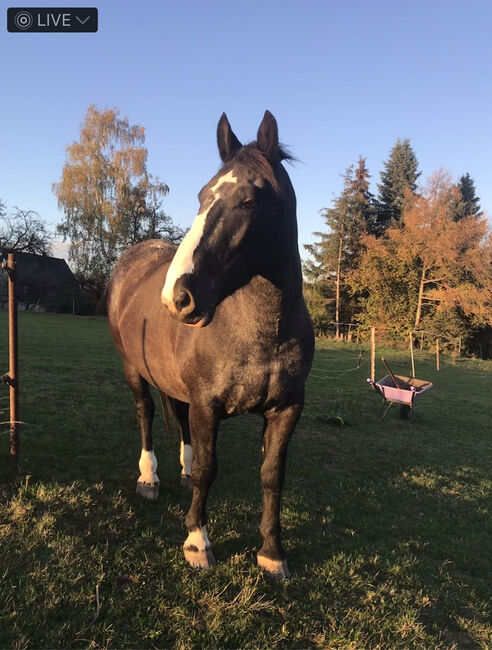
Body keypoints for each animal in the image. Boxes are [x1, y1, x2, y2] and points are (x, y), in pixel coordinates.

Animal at [107, 109, 316, 576]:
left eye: (249, 201)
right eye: (203, 196)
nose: (177, 296)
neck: (261, 331)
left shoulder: (286, 409)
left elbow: (272, 474)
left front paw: (272, 553)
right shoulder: (208, 404)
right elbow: (209, 469)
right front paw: (197, 542)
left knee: (179, 419)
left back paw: (180, 472)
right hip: (133, 369)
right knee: (146, 413)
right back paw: (149, 478)